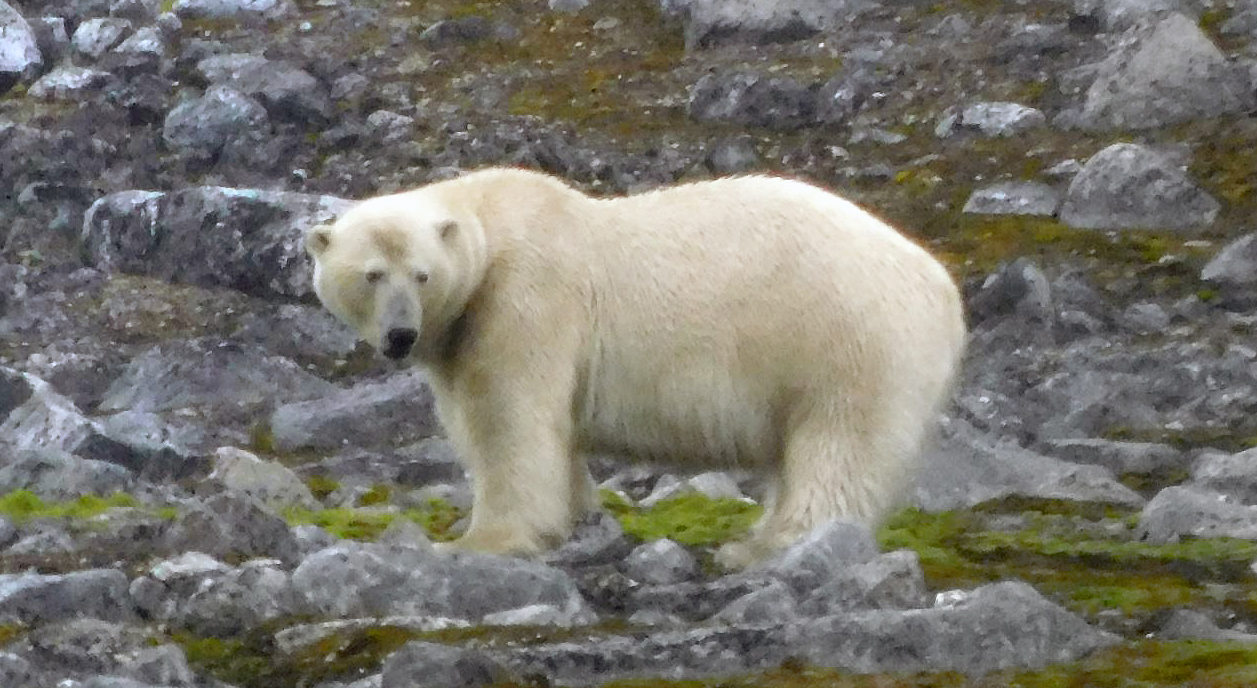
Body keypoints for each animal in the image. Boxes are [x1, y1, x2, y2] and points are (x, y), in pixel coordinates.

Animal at [305, 167, 966, 567]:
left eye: (421, 274)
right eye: (371, 275)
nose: (401, 334)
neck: (492, 222)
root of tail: (942, 286)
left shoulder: (524, 299)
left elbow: (507, 421)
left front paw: (478, 542)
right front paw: (579, 512)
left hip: (843, 339)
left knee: (838, 445)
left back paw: (762, 546)